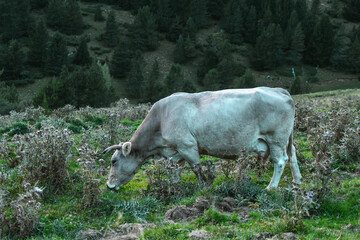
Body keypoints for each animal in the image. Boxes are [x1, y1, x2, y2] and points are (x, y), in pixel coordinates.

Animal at [102, 87, 302, 190]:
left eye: (113, 161)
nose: (108, 185)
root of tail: (278, 90)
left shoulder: (188, 146)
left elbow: (196, 168)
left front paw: (203, 186)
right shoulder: (174, 151)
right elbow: (174, 170)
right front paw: (175, 185)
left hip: (276, 139)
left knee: (281, 161)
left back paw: (271, 187)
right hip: (286, 139)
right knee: (293, 155)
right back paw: (297, 181)